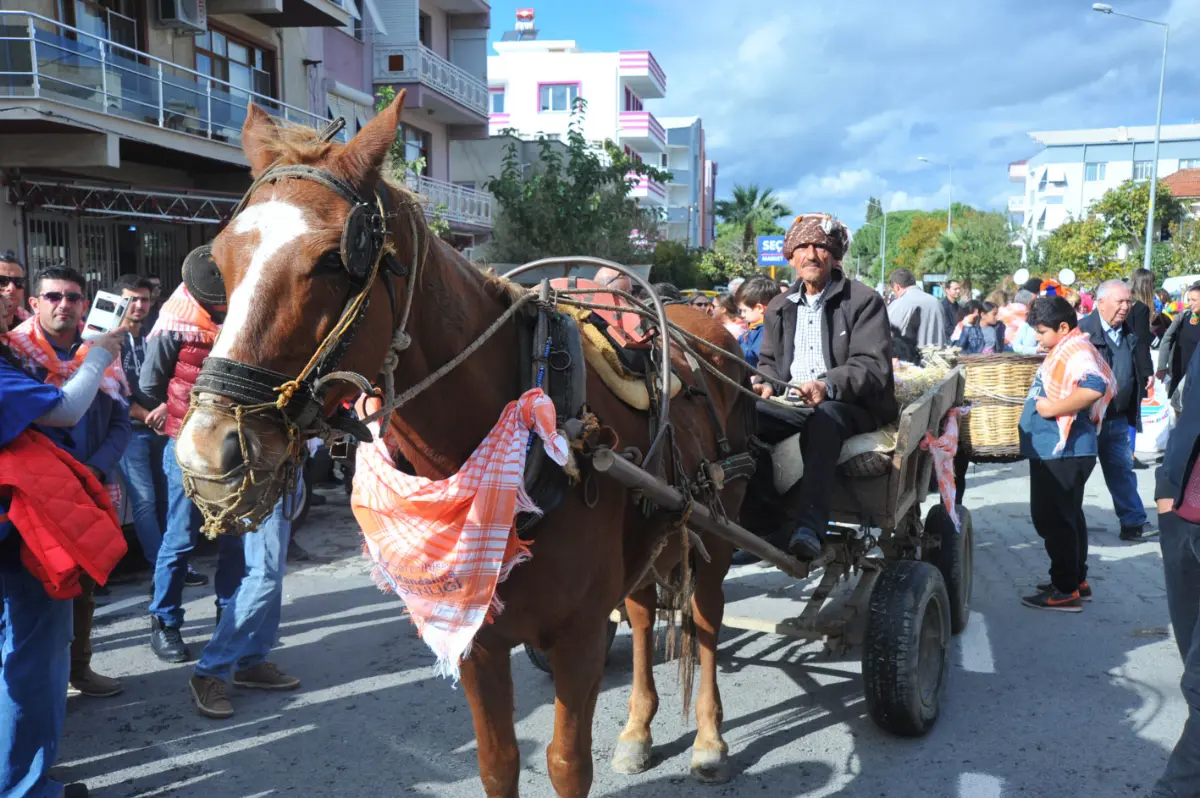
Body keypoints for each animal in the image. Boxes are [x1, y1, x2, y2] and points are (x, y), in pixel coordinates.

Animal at [174, 94, 753, 796]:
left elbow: (566, 764)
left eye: (336, 261)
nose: (207, 453)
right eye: (217, 265)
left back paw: (709, 740)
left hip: (718, 526)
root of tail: (704, 323)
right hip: (654, 532)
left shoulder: (581, 634)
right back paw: (639, 729)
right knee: (644, 616)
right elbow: (498, 762)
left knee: (706, 620)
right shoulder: (478, 638)